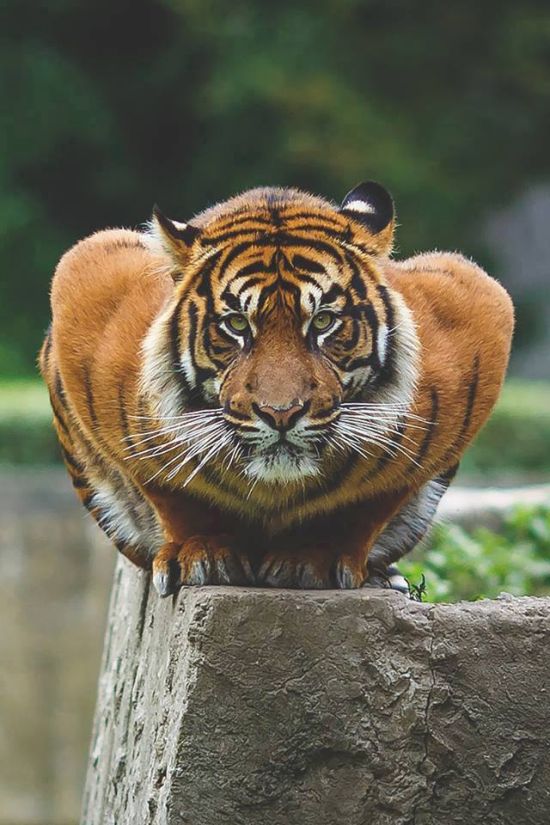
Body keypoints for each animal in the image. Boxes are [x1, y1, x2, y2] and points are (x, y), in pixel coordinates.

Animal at [39, 181, 514, 597]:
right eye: (236, 324)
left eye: (323, 322)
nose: (281, 413)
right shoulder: (86, 275)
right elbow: (171, 489)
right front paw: (202, 552)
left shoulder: (478, 305)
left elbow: (369, 502)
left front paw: (315, 556)